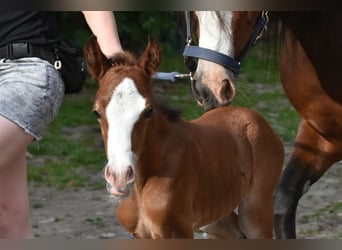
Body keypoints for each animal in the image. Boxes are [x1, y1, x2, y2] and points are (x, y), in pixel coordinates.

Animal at [83, 35, 284, 238]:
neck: (142, 185)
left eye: (148, 111)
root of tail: (254, 117)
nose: (120, 176)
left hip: (254, 213)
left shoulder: (178, 232)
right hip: (213, 218)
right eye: (96, 112)